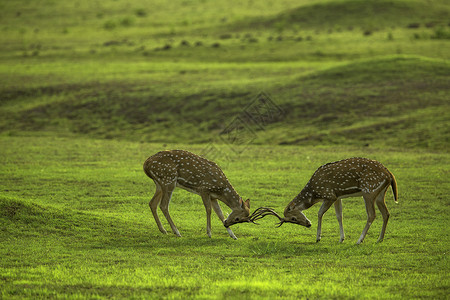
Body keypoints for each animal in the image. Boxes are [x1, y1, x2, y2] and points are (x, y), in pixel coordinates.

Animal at [251, 157, 400, 244]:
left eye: (293, 218)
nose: (308, 224)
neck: (314, 193)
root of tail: (389, 174)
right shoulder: (337, 197)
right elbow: (339, 216)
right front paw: (341, 238)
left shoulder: (329, 195)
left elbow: (319, 213)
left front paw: (318, 237)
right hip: (380, 194)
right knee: (386, 213)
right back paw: (379, 239)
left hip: (368, 191)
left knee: (372, 214)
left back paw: (360, 240)